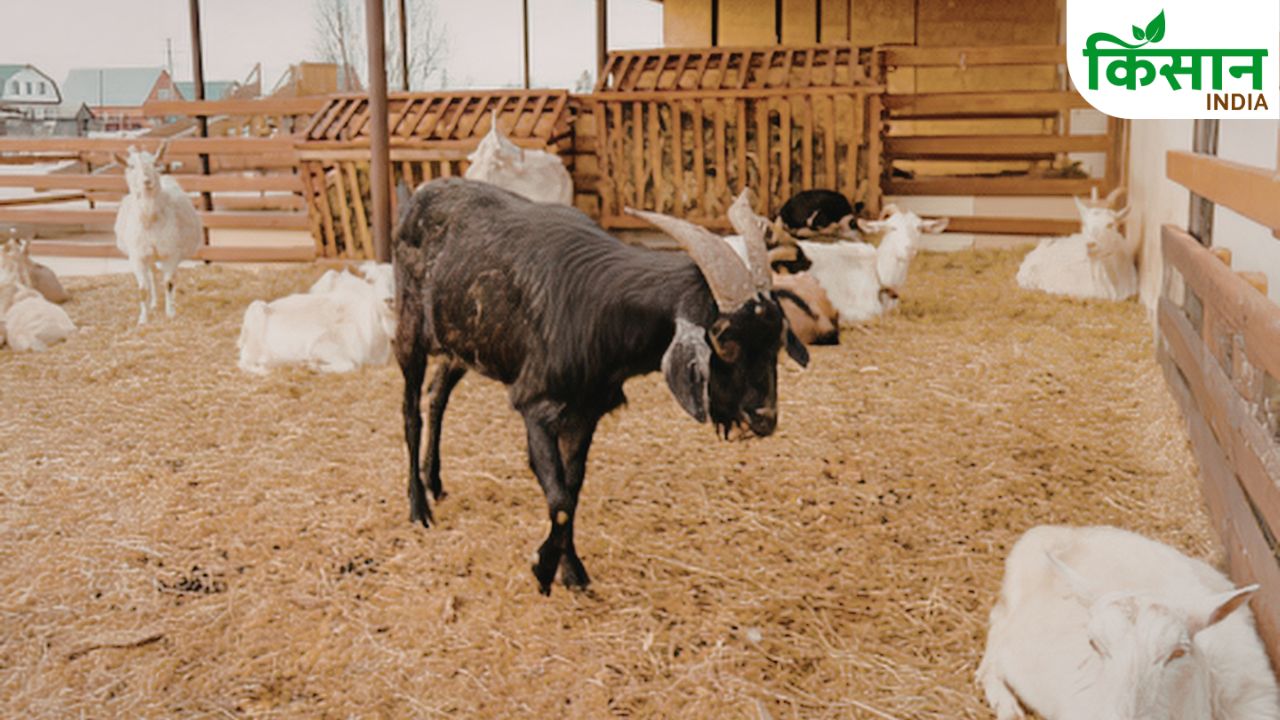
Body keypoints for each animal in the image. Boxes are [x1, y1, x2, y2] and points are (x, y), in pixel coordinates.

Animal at [113, 143, 203, 324]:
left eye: (155, 163)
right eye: (131, 166)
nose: (147, 181)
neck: (150, 219)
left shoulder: (171, 252)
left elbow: (168, 283)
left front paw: (170, 312)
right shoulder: (137, 256)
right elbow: (142, 289)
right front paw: (143, 319)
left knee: (170, 277)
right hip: (149, 255)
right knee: (152, 276)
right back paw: (153, 303)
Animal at [237, 268, 395, 374]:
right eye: (372, 281)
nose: (389, 300)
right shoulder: (321, 345)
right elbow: (349, 365)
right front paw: (311, 366)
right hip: (255, 316)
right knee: (244, 362)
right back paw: (265, 369)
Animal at [394, 178, 808, 594]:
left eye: (776, 338)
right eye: (723, 339)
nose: (764, 418)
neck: (600, 317)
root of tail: (418, 194)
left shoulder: (585, 412)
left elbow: (571, 490)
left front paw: (572, 572)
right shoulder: (536, 405)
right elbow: (559, 499)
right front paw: (544, 566)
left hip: (459, 345)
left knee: (437, 395)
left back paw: (435, 482)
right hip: (409, 331)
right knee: (411, 413)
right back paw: (417, 507)